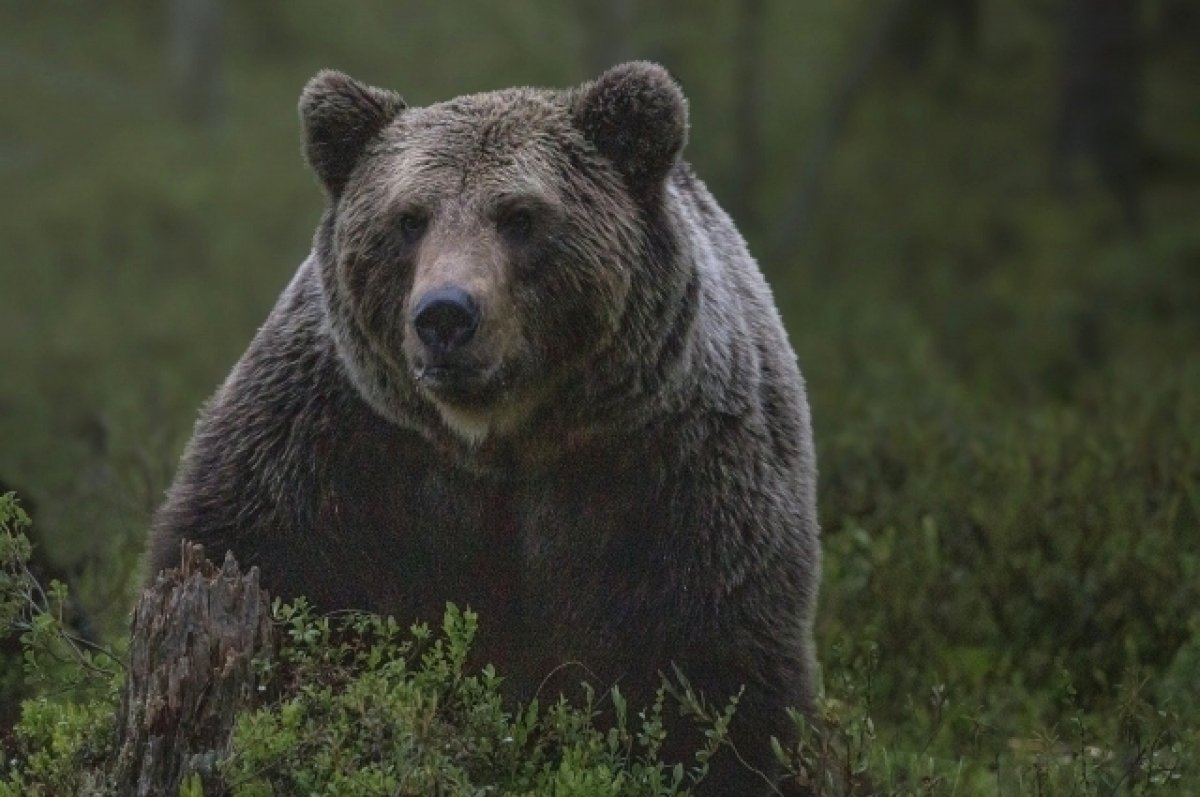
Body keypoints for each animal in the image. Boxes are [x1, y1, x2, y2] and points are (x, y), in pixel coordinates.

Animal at [147, 63, 825, 797]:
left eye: (520, 217)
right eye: (409, 218)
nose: (445, 315)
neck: (501, 439)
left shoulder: (676, 471)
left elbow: (718, 672)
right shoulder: (332, 443)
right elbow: (252, 552)